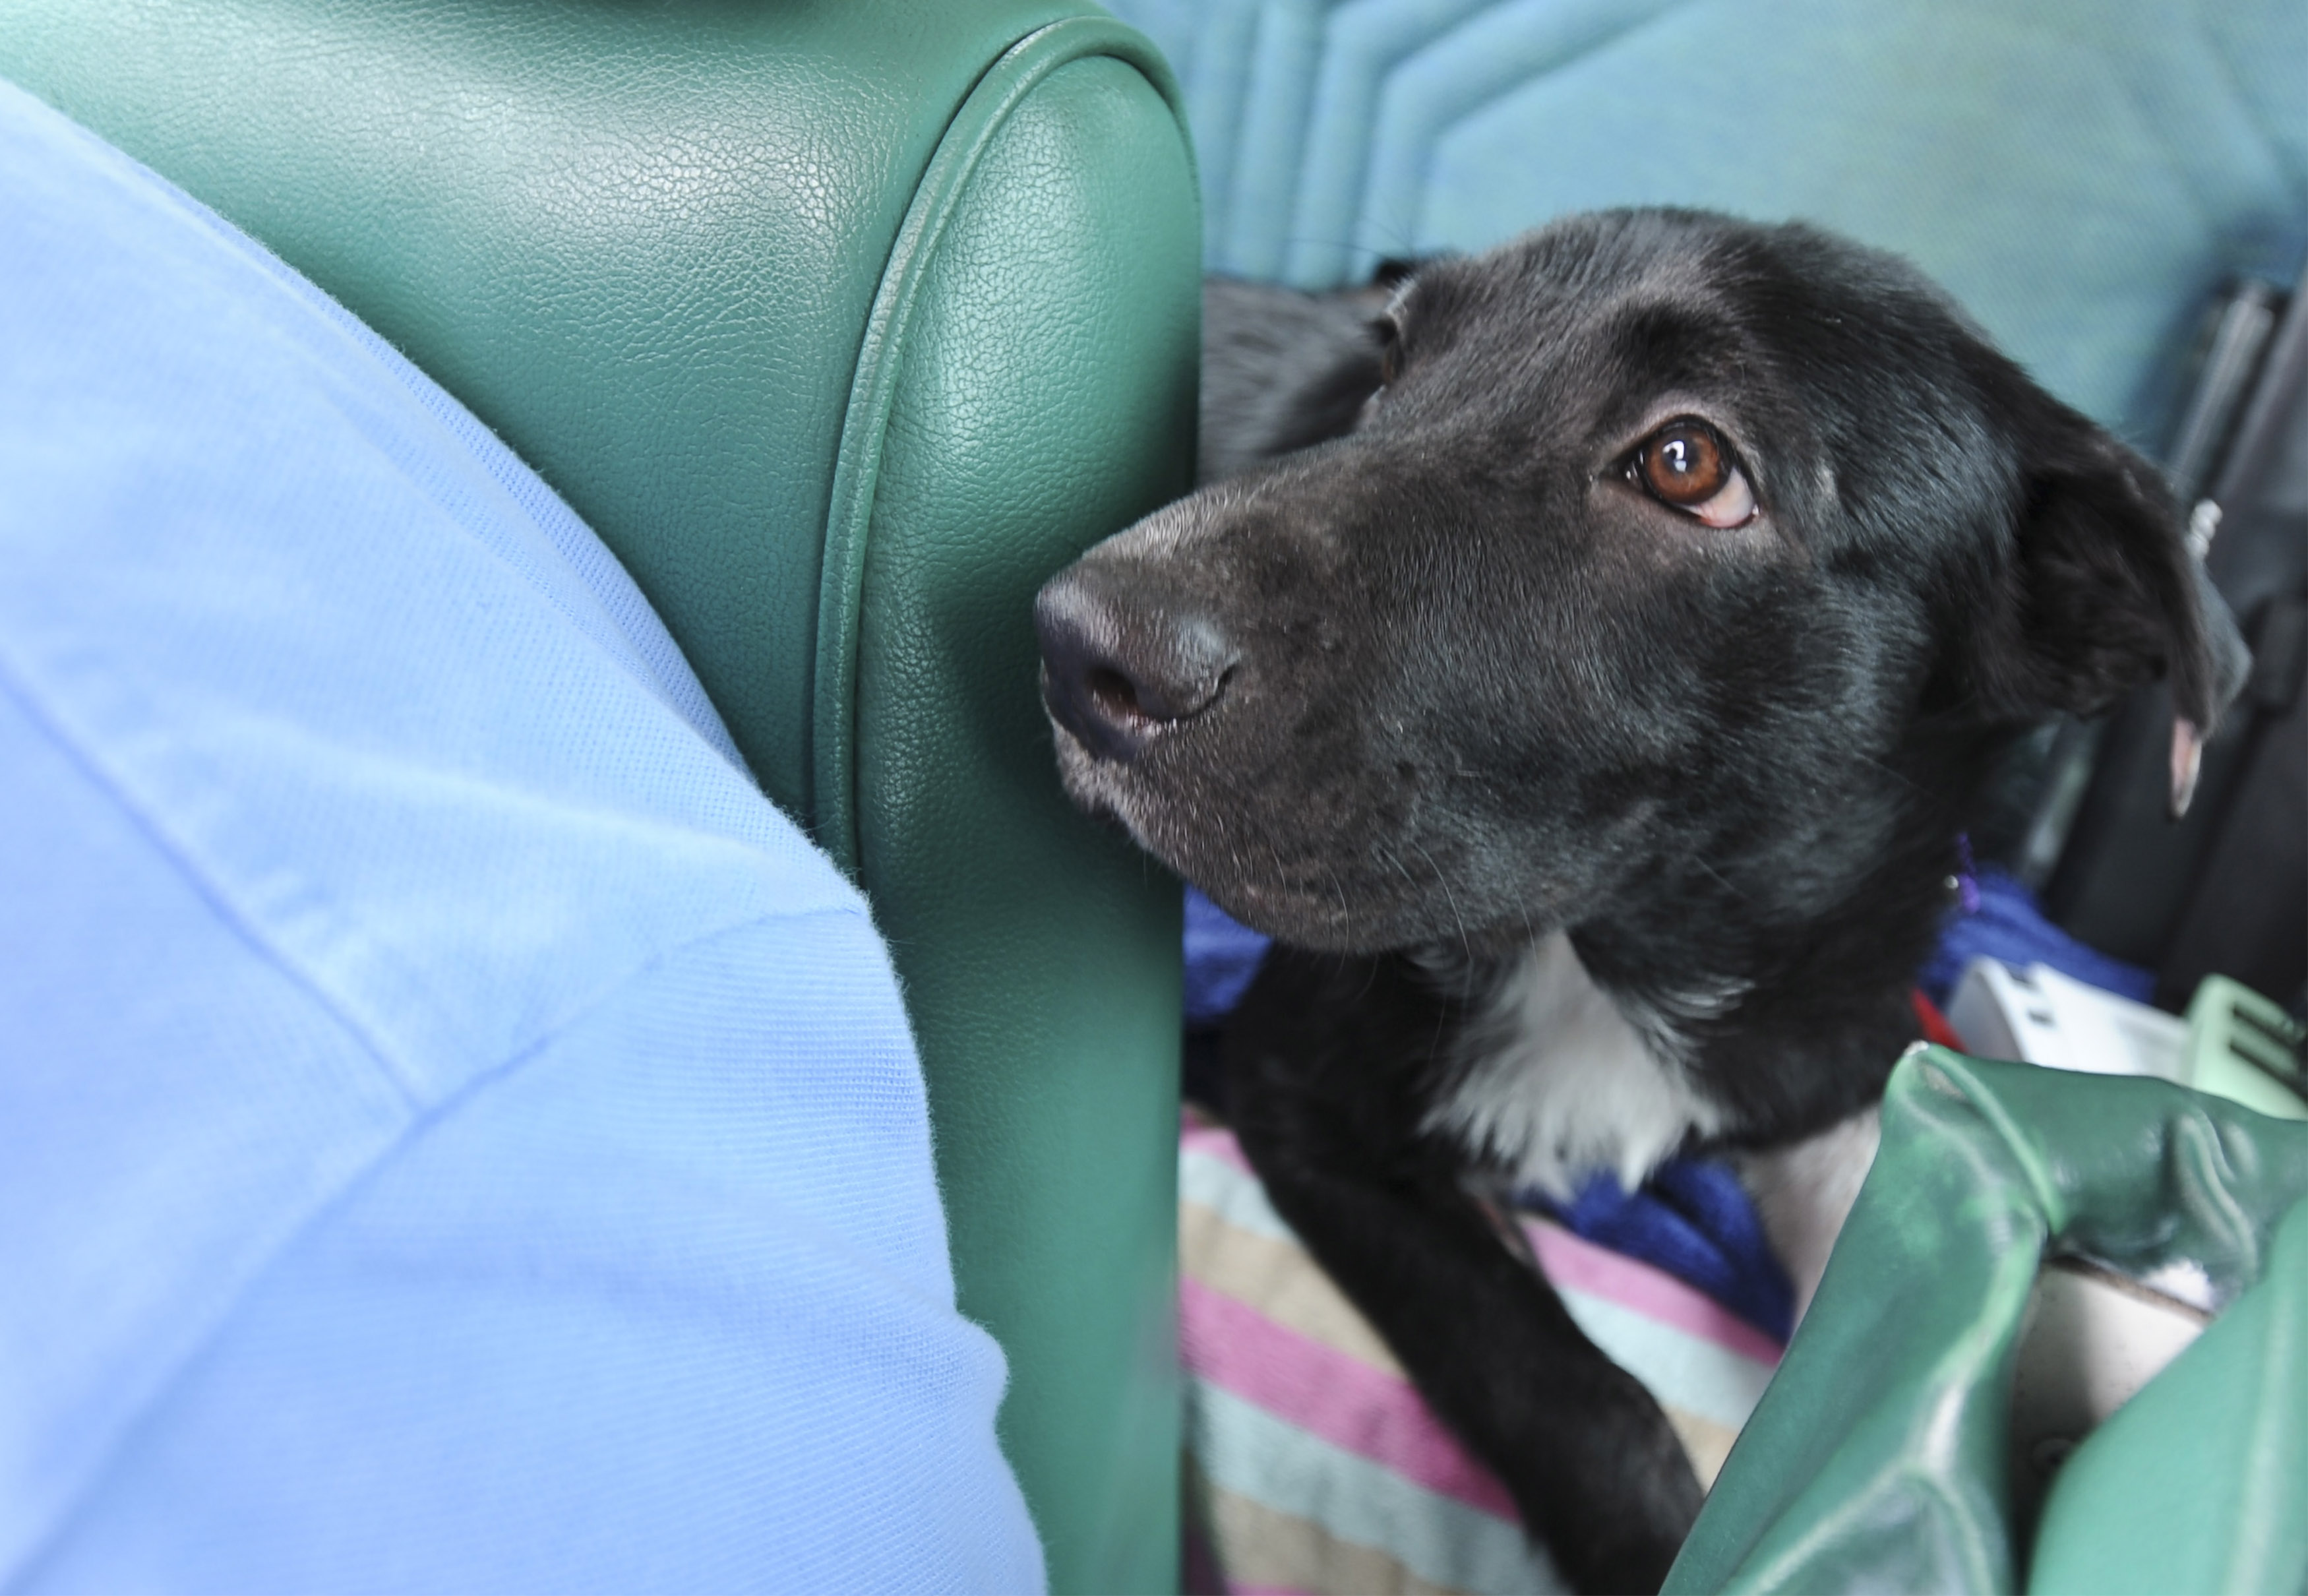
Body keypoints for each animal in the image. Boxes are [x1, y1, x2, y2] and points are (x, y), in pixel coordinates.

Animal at [1039, 208, 2243, 1589]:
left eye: (1686, 463)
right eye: (1393, 354)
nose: (1074, 647)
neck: (1621, 953)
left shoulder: (1842, 1056)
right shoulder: (1297, 1091)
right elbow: (1578, 1386)